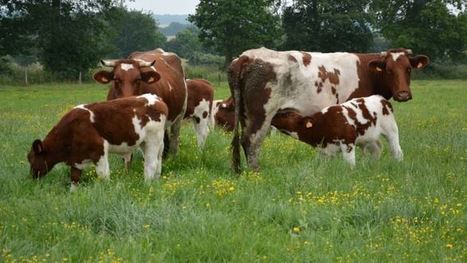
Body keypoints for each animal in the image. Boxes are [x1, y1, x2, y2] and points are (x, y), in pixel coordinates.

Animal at [26, 95, 167, 192]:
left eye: (32, 159)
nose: (32, 177)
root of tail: (157, 98)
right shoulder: (77, 157)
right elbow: (74, 177)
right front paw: (73, 194)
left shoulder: (98, 149)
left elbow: (103, 175)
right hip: (152, 143)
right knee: (158, 162)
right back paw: (155, 182)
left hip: (152, 140)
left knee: (151, 164)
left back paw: (146, 185)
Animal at [272, 95, 404, 167]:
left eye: (285, 114)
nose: (273, 116)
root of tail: (381, 98)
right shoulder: (323, 149)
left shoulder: (348, 142)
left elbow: (350, 164)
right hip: (369, 137)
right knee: (377, 149)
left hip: (391, 129)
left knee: (396, 150)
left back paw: (398, 163)